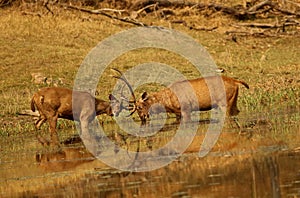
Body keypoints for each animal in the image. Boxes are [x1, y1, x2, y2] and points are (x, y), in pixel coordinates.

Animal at [112, 68, 248, 124]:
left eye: (140, 107)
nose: (143, 118)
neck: (167, 102)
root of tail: (236, 81)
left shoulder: (186, 110)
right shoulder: (178, 113)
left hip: (225, 103)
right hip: (233, 102)